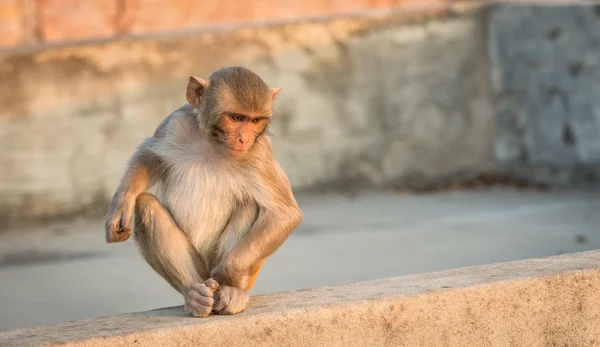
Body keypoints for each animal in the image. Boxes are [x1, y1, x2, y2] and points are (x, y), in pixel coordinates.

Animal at [103, 65, 302, 318]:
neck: (214, 144)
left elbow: (285, 213)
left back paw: (232, 291)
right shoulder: (175, 123)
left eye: (255, 120)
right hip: (198, 268)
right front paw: (121, 206)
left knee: (252, 204)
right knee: (146, 205)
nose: (244, 138)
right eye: (236, 118)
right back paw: (194, 295)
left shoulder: (259, 152)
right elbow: (149, 155)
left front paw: (228, 274)